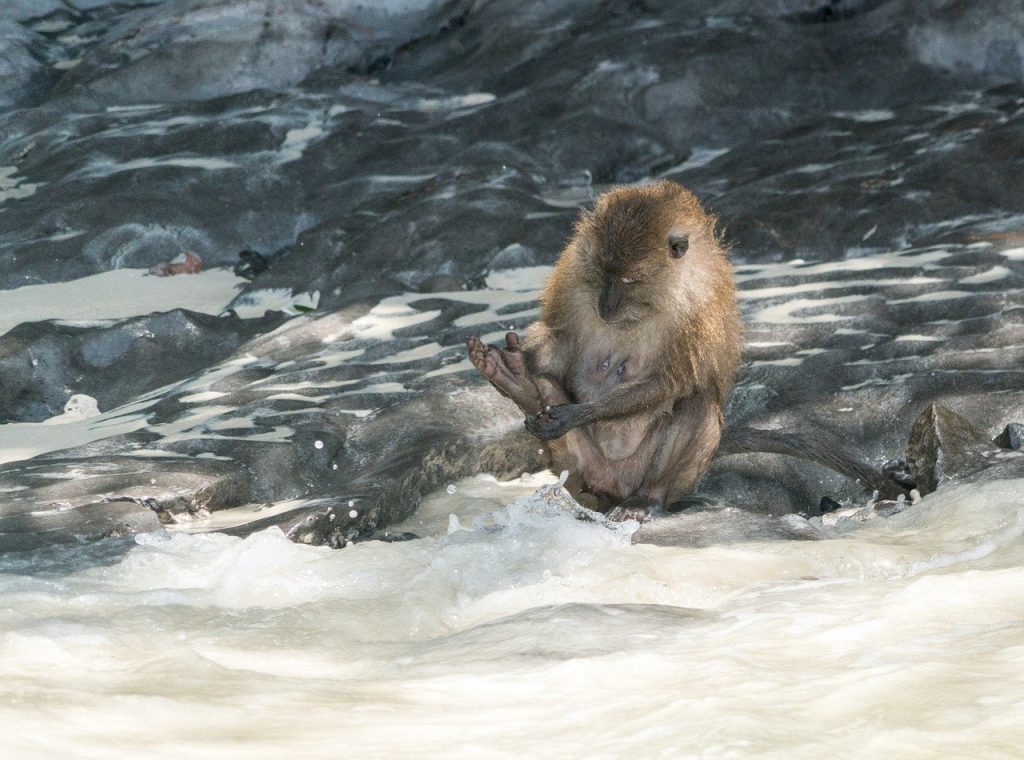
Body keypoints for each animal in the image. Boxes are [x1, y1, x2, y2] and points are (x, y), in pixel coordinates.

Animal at [467, 180, 904, 521]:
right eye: (602, 273)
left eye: (630, 279)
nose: (605, 307)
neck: (655, 295)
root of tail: (611, 483)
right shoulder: (573, 271)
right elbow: (560, 342)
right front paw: (518, 364)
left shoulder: (699, 304)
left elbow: (673, 382)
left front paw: (575, 413)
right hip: (579, 464)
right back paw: (520, 387)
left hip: (658, 476)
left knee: (697, 403)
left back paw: (645, 500)